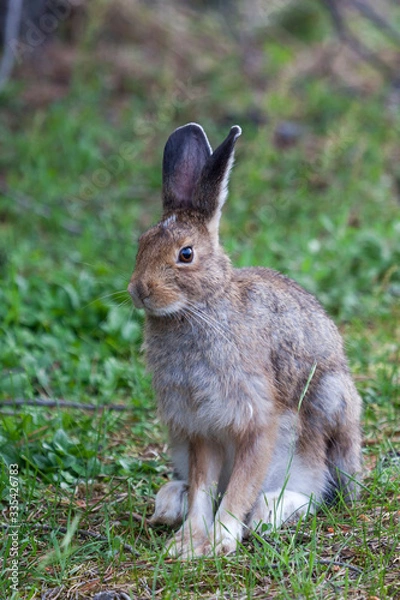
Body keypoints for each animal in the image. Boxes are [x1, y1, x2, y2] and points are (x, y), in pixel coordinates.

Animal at [128, 122, 362, 556]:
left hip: (331, 404)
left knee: (321, 490)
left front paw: (220, 540)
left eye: (186, 254)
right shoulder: (199, 428)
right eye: (142, 243)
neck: (201, 308)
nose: (139, 290)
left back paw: (271, 511)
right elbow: (204, 485)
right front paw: (188, 544)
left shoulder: (257, 419)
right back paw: (171, 503)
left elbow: (241, 485)